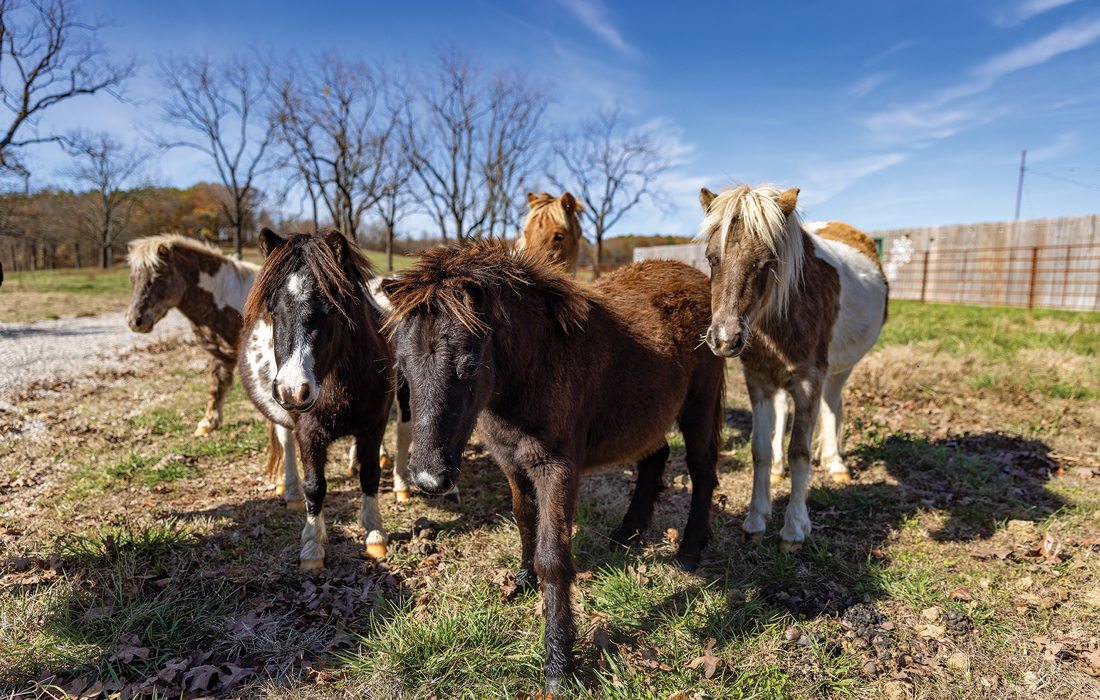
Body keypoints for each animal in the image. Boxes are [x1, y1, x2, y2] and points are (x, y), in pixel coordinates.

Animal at [382, 243, 726, 691]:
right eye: (402, 369)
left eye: (470, 365)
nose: (428, 478)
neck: (535, 366)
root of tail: (694, 276)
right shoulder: (511, 462)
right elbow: (523, 519)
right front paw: (522, 581)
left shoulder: (556, 469)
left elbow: (553, 556)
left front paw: (559, 666)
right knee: (656, 457)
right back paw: (626, 534)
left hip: (700, 403)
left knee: (702, 469)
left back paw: (689, 550)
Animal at [699, 184, 888, 552]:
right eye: (712, 258)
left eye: (766, 262)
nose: (725, 339)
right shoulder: (758, 380)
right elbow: (759, 448)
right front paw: (756, 520)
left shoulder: (809, 381)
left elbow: (800, 452)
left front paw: (794, 530)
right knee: (782, 412)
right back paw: (777, 469)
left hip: (839, 370)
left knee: (832, 405)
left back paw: (835, 463)